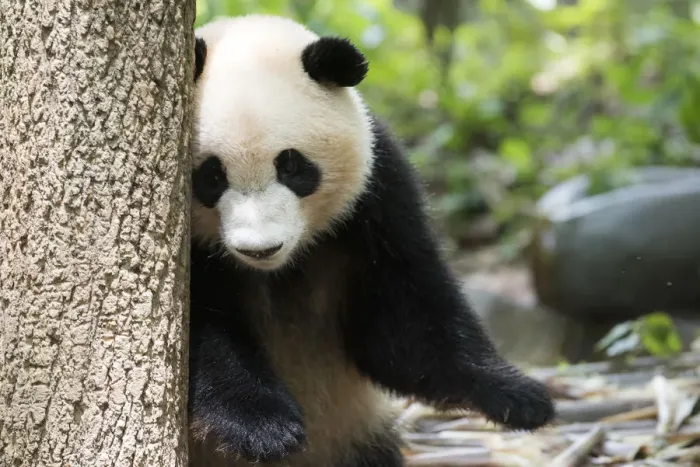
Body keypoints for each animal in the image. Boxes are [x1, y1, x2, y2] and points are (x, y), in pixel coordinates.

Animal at [188, 14, 555, 467]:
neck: (277, 271)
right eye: (212, 176)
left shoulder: (374, 197)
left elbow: (402, 326)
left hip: (354, 433)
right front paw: (263, 426)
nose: (260, 248)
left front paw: (518, 395)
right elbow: (203, 333)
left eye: (291, 166)